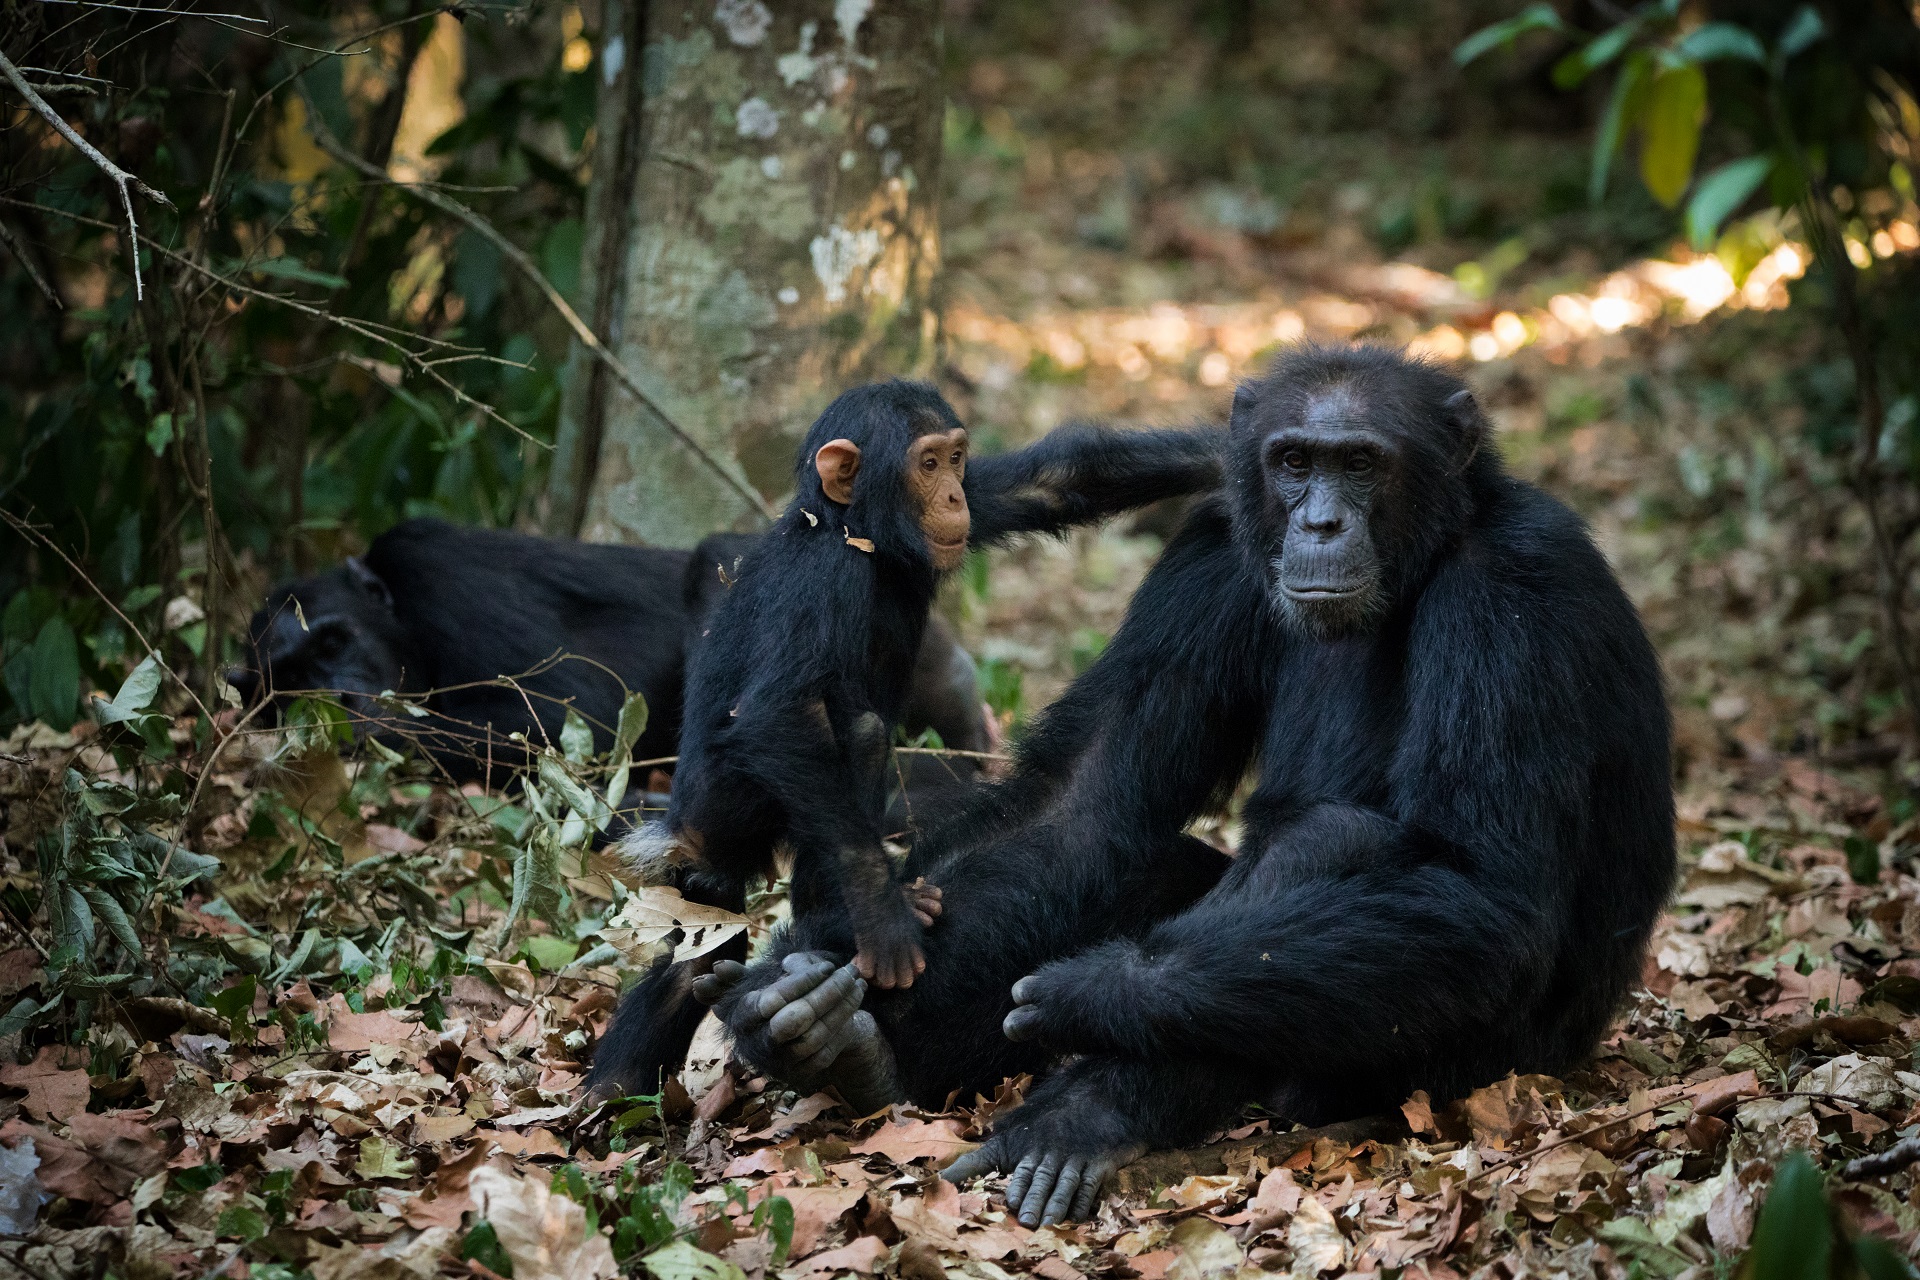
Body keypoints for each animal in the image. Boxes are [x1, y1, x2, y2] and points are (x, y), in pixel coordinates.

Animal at [232, 514, 990, 805]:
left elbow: (572, 705)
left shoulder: (442, 575)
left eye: (333, 642)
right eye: (290, 683)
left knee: (720, 561)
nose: (340, 697)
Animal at [576, 379, 1228, 1105]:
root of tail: (677, 828)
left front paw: (1234, 450)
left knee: (696, 953)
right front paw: (884, 921)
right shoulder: (820, 580)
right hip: (728, 812)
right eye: (926, 464)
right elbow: (780, 711)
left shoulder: (986, 499)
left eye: (956, 459)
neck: (852, 530)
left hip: (711, 871)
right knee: (852, 734)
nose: (950, 496)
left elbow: (1053, 482)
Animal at [698, 345, 1674, 1228]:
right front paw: (822, 956)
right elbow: (1085, 797)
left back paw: (1081, 1116)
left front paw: (1099, 994)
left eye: (1360, 463)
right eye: (1294, 463)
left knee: (1334, 852)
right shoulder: (1215, 553)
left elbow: (1483, 885)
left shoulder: (1512, 594)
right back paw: (835, 1039)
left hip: (1496, 1058)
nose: (1320, 524)